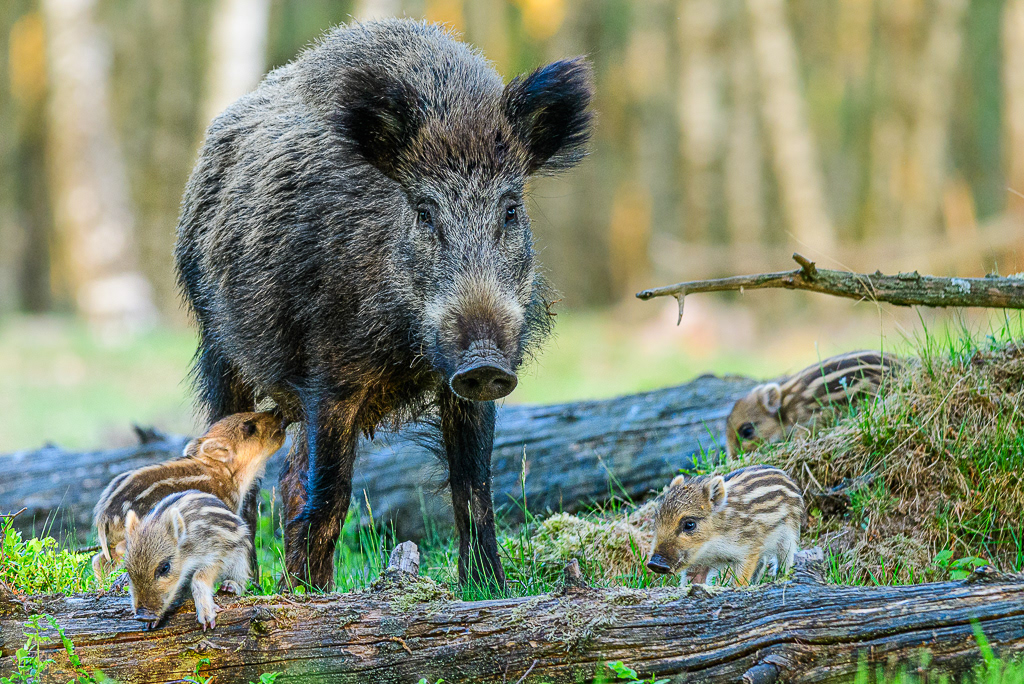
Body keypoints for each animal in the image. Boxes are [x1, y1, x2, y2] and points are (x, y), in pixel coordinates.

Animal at [174, 19, 593, 590]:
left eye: (510, 209)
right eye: (424, 211)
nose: (483, 359)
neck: (408, 343)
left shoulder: (466, 389)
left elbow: (473, 488)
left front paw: (487, 590)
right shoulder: (328, 375)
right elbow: (332, 496)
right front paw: (312, 602)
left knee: (289, 480)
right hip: (218, 342)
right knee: (244, 473)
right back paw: (250, 589)